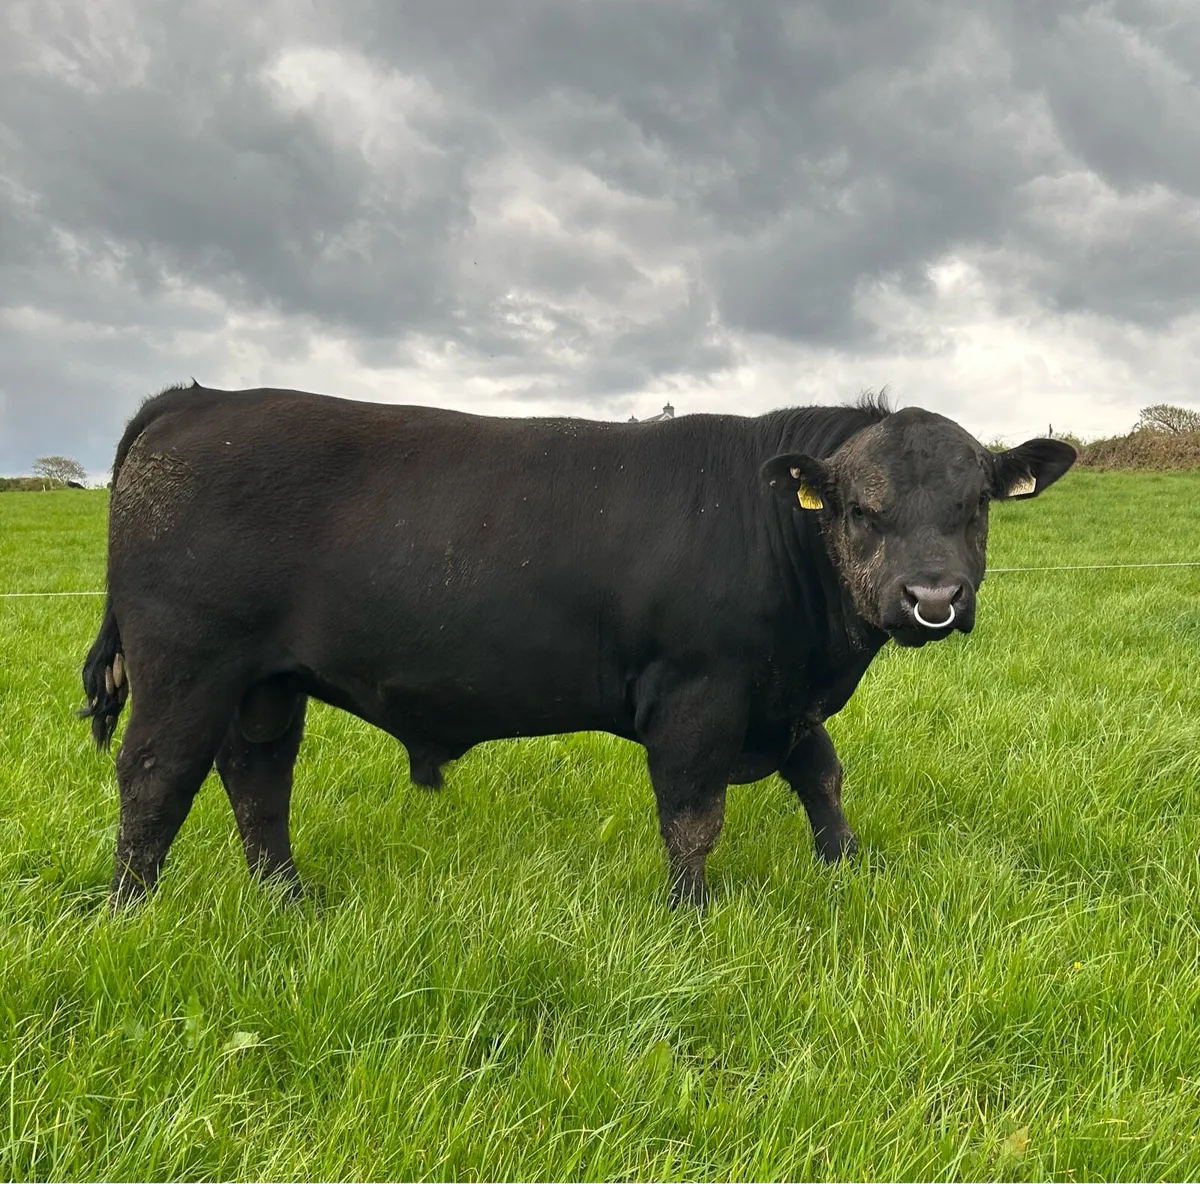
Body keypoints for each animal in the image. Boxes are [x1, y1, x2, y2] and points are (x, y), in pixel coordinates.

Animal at [80, 383, 1076, 909]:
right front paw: (691, 915)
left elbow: (823, 776)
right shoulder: (700, 691)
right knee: (157, 777)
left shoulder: (778, 695)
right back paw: (135, 910)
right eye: (861, 510)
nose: (933, 599)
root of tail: (200, 400)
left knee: (257, 779)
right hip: (189, 666)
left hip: (265, 684)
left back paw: (289, 898)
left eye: (974, 505)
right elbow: (694, 815)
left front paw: (847, 869)